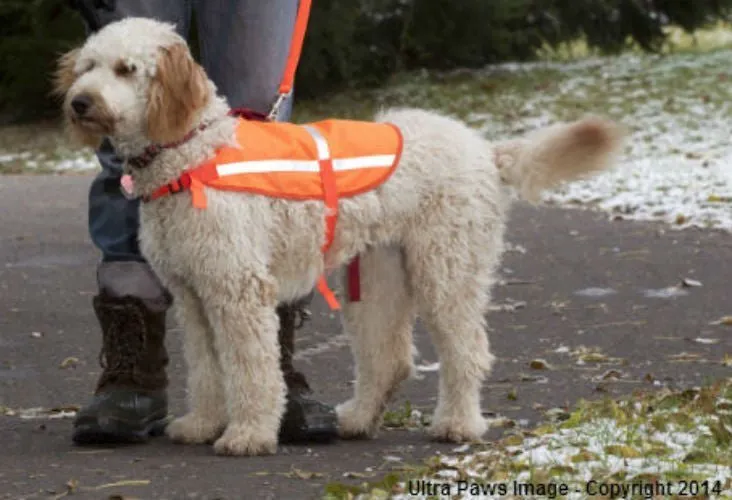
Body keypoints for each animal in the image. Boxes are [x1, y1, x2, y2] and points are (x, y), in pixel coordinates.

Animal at [54, 17, 624, 458]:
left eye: (126, 69)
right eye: (87, 67)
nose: (80, 102)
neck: (193, 151)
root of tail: (486, 149)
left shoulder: (238, 291)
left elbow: (251, 369)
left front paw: (248, 434)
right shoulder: (195, 295)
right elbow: (207, 368)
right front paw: (201, 424)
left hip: (446, 269)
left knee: (467, 350)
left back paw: (457, 424)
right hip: (375, 279)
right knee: (389, 358)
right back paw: (356, 419)